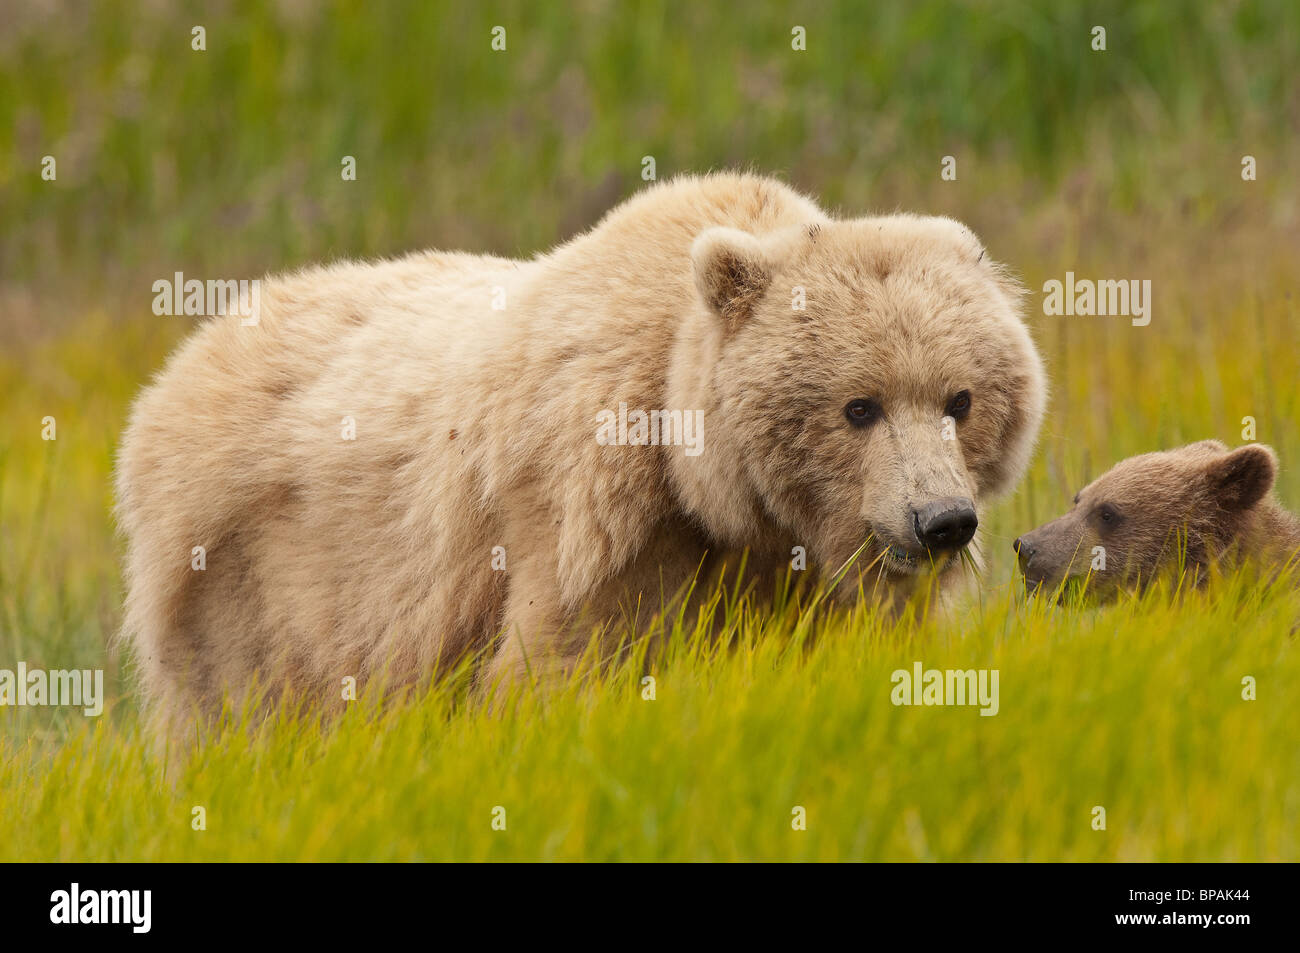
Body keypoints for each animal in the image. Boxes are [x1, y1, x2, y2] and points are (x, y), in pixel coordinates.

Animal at [114, 174, 1045, 733]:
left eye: (960, 400)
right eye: (859, 406)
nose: (941, 521)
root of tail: (174, 374)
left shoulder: (797, 568)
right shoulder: (594, 516)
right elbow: (564, 664)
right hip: (252, 581)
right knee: (243, 716)